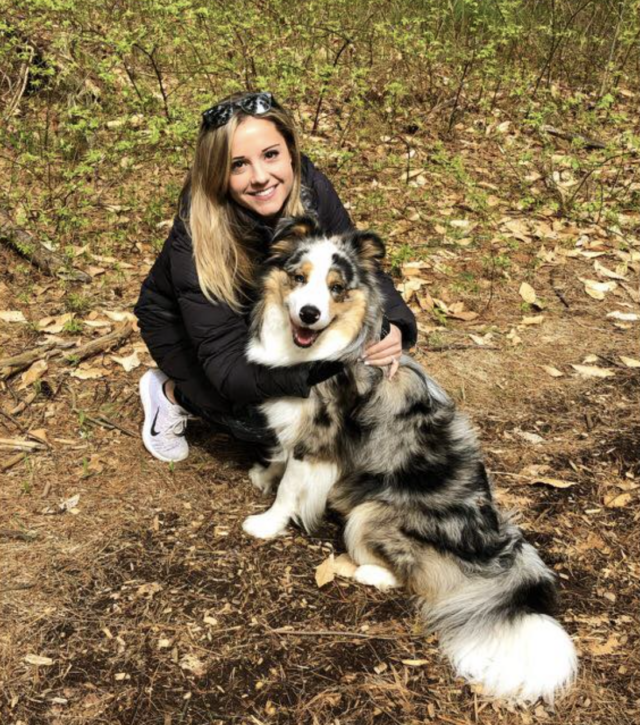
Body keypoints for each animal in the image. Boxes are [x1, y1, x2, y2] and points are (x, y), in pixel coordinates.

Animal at [241, 216, 580, 700]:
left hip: (371, 513)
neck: (315, 350)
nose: (309, 313)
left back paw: (363, 571)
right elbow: (281, 460)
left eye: (336, 288)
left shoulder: (321, 435)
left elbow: (291, 487)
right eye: (299, 278)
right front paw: (265, 472)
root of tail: (496, 546)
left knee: (411, 576)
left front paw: (267, 523)